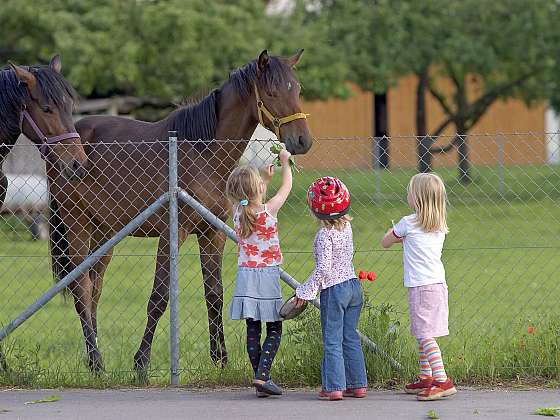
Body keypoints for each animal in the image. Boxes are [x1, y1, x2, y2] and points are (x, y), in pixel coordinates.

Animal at [49, 50, 312, 372]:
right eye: (272, 92)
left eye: (297, 89)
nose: (302, 140)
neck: (202, 154)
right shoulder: (172, 233)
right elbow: (159, 297)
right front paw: (141, 362)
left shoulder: (213, 234)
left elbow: (214, 294)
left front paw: (220, 359)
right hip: (76, 225)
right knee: (81, 291)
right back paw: (96, 361)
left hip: (104, 233)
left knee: (93, 291)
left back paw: (94, 359)